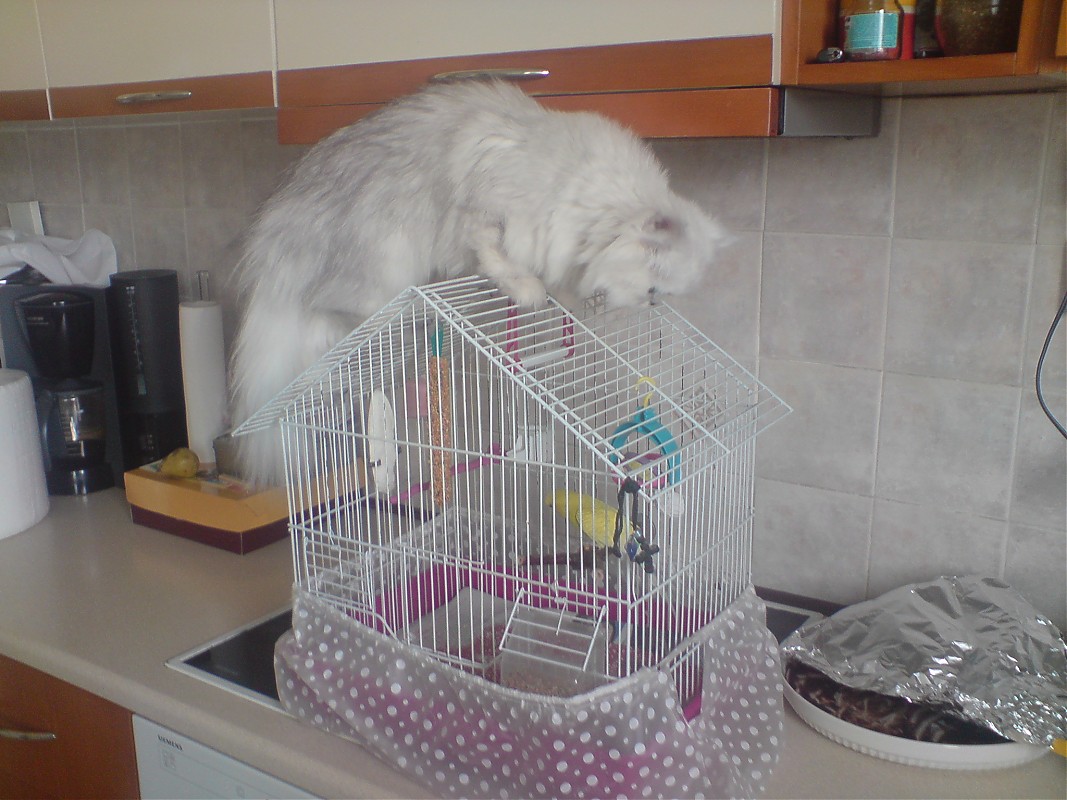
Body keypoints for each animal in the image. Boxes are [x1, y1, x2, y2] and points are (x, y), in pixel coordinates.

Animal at [230, 79, 727, 485]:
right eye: (653, 288)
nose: (654, 305)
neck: (591, 203)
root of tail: (278, 227)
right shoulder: (487, 214)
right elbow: (498, 256)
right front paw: (528, 291)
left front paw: (561, 296)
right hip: (387, 255)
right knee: (339, 313)